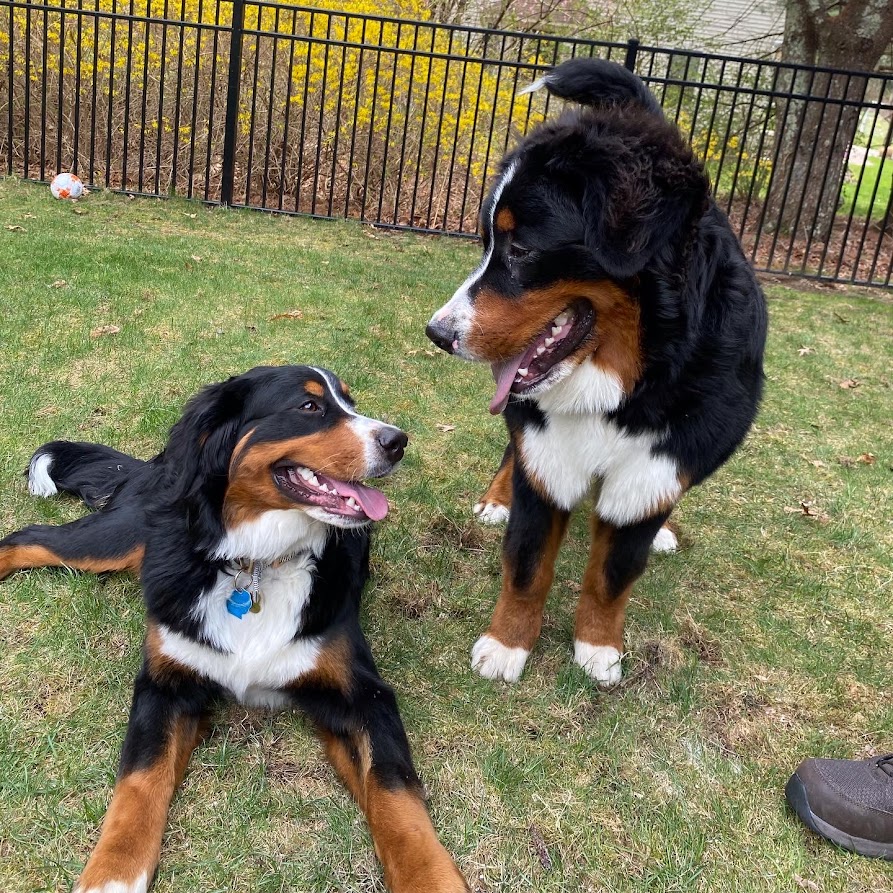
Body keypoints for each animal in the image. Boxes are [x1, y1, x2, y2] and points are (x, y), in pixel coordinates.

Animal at [0, 364, 470, 892]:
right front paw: (112, 874)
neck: (255, 563)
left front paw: (430, 878)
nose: (398, 442)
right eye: (309, 406)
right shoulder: (166, 684)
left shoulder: (361, 694)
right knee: (25, 538)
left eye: (350, 402)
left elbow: (394, 789)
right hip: (115, 541)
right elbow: (139, 779)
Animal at [426, 59, 768, 688]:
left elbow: (613, 573)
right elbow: (528, 562)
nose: (438, 333)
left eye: (520, 249)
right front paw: (506, 645)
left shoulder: (658, 465)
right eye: (486, 243)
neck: (627, 385)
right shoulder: (545, 448)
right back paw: (496, 497)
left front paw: (598, 648)